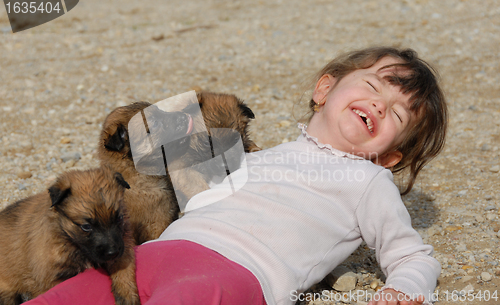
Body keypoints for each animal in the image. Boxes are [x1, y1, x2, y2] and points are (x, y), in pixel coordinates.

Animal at [0, 166, 139, 304]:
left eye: (119, 218)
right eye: (86, 227)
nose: (112, 252)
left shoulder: (123, 244)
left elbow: (124, 269)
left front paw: (127, 294)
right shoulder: (50, 279)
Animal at [99, 89, 260, 242]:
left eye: (236, 141)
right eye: (206, 142)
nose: (224, 166)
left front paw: (254, 149)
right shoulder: (183, 172)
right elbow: (199, 187)